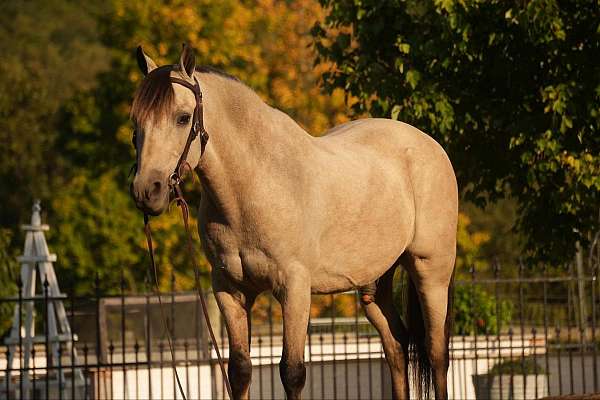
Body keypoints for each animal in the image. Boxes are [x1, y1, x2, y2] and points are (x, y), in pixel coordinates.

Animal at [130, 44, 454, 400]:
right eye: (136, 121)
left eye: (183, 117)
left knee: (436, 352)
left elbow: (292, 372)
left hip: (431, 272)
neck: (255, 183)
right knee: (396, 345)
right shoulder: (229, 289)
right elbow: (239, 370)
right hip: (374, 284)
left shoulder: (294, 288)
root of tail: (430, 145)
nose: (146, 191)